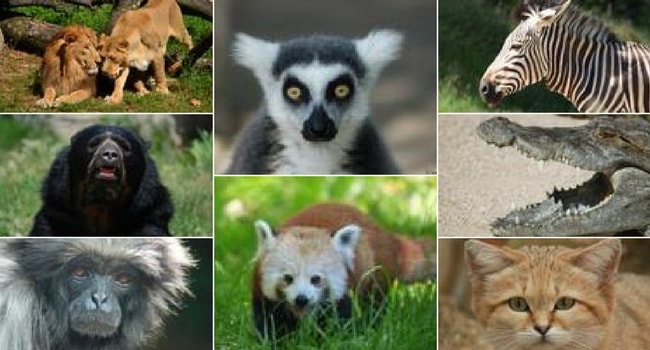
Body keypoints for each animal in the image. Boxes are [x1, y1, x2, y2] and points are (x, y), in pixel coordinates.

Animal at [30, 124, 173, 237]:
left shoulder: (147, 214)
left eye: (125, 147)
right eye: (93, 144)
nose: (110, 154)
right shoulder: (57, 213)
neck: (100, 204)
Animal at [251, 202, 432, 340]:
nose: (301, 299)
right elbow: (268, 321)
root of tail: (387, 236)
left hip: (376, 275)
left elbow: (338, 321)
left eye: (316, 279)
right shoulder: (261, 291)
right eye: (288, 278)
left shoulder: (345, 288)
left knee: (374, 306)